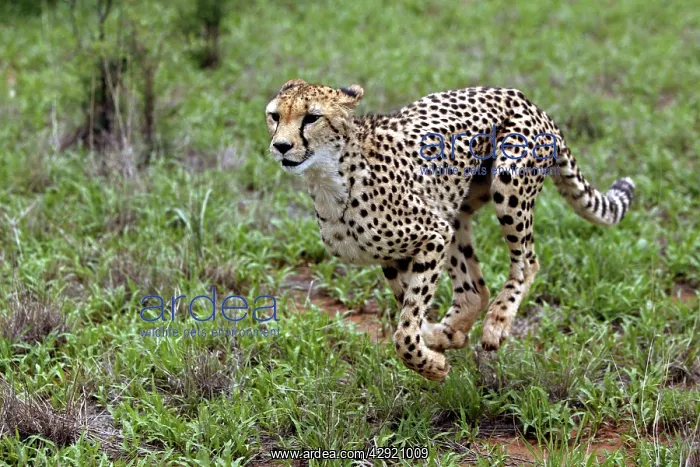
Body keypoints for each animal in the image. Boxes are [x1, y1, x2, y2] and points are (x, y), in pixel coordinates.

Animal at [265, 78, 635, 381]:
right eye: (274, 116)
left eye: (311, 118)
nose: (280, 146)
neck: (329, 179)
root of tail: (522, 97)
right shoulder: (398, 253)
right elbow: (410, 313)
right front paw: (440, 340)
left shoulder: (433, 234)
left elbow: (405, 331)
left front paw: (433, 365)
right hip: (455, 211)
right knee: (474, 290)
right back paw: (455, 328)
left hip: (507, 185)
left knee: (527, 262)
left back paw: (497, 322)